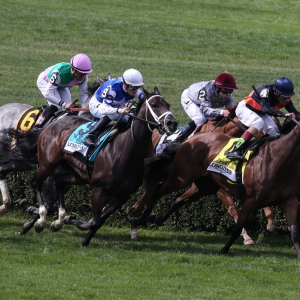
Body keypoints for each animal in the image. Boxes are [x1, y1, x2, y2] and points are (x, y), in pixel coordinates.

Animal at [16, 86, 177, 246]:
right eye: (154, 105)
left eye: (168, 105)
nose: (172, 123)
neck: (125, 151)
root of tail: (52, 124)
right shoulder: (98, 189)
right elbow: (95, 220)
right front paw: (71, 220)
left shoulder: (122, 195)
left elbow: (98, 221)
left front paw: (82, 237)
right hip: (47, 163)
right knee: (36, 183)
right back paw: (39, 220)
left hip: (78, 173)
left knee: (60, 182)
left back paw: (57, 219)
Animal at [134, 120, 300, 258]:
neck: (276, 160)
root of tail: (188, 140)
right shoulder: (250, 200)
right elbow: (237, 227)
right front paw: (225, 249)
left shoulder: (289, 200)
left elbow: (294, 232)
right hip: (181, 177)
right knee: (159, 190)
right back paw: (140, 219)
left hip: (204, 186)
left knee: (177, 200)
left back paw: (156, 219)